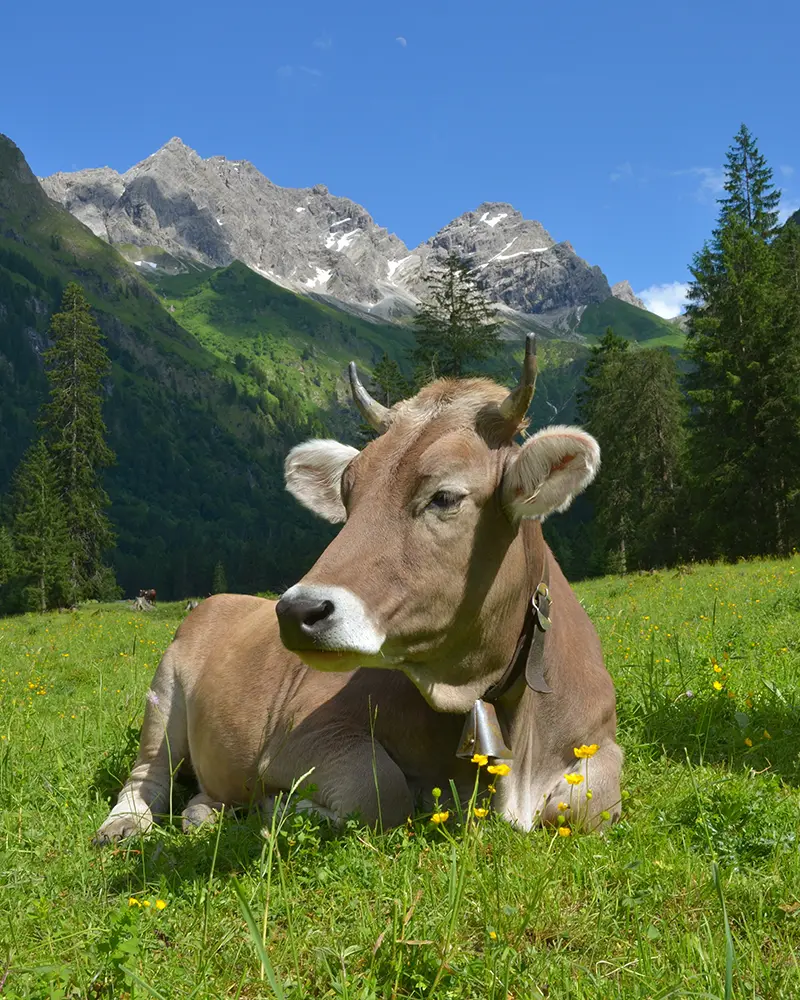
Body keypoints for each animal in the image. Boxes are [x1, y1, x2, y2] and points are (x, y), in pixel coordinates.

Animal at [94, 338, 620, 844]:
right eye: (348, 493)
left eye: (444, 496)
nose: (296, 611)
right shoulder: (299, 739)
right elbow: (382, 791)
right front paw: (283, 809)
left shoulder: (599, 741)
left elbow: (590, 803)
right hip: (163, 694)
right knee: (148, 773)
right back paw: (125, 825)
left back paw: (204, 812)